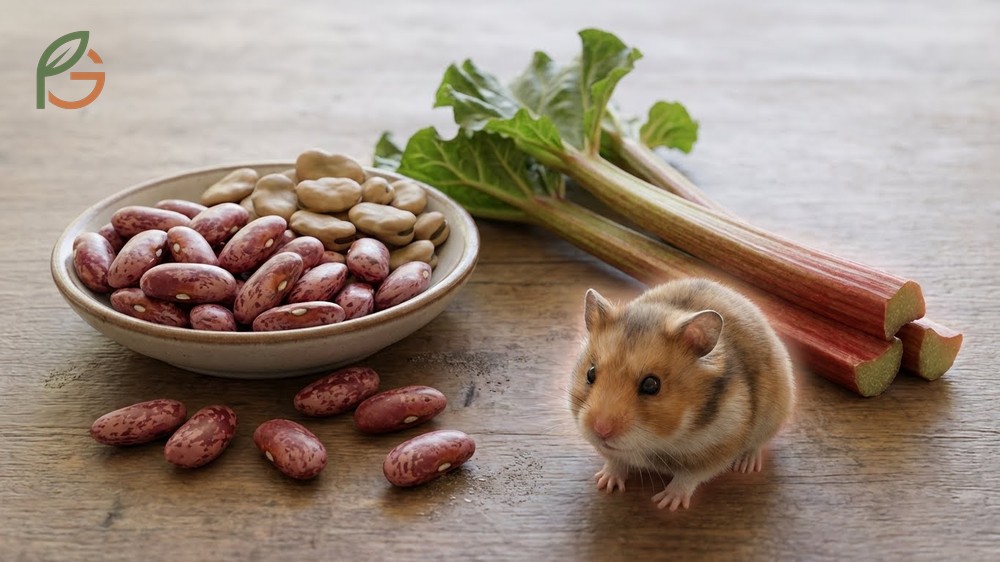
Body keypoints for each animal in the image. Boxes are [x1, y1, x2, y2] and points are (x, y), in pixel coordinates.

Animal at [569, 278, 795, 510]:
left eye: (651, 385)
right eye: (590, 373)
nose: (600, 430)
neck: (661, 441)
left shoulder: (717, 448)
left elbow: (687, 478)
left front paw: (665, 503)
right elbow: (615, 461)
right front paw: (604, 483)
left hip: (774, 414)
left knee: (757, 445)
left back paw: (747, 465)